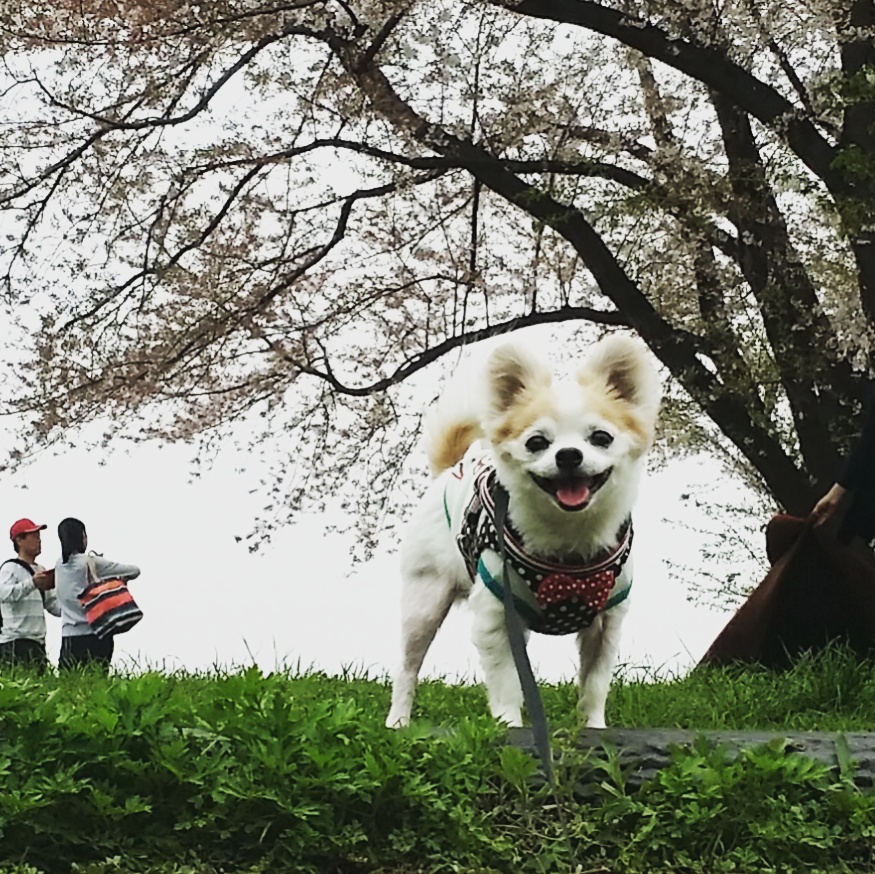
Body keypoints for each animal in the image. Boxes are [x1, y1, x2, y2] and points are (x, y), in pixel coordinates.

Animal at [386, 334, 660, 728]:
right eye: (536, 443)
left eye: (601, 438)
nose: (569, 454)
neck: (567, 543)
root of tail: (450, 469)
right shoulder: (498, 617)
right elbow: (507, 683)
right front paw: (511, 727)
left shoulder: (606, 623)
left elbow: (594, 684)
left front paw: (594, 726)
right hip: (425, 599)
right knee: (408, 666)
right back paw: (398, 722)